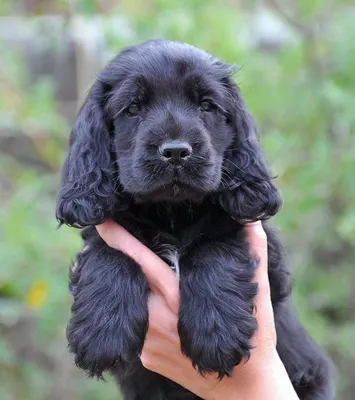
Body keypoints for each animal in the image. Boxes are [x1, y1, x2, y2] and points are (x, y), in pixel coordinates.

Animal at [57, 38, 336, 400]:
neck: (172, 213)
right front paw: (102, 334)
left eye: (206, 105)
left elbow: (215, 248)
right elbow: (110, 253)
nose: (176, 151)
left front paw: (216, 334)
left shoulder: (266, 260)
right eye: (132, 108)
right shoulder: (104, 230)